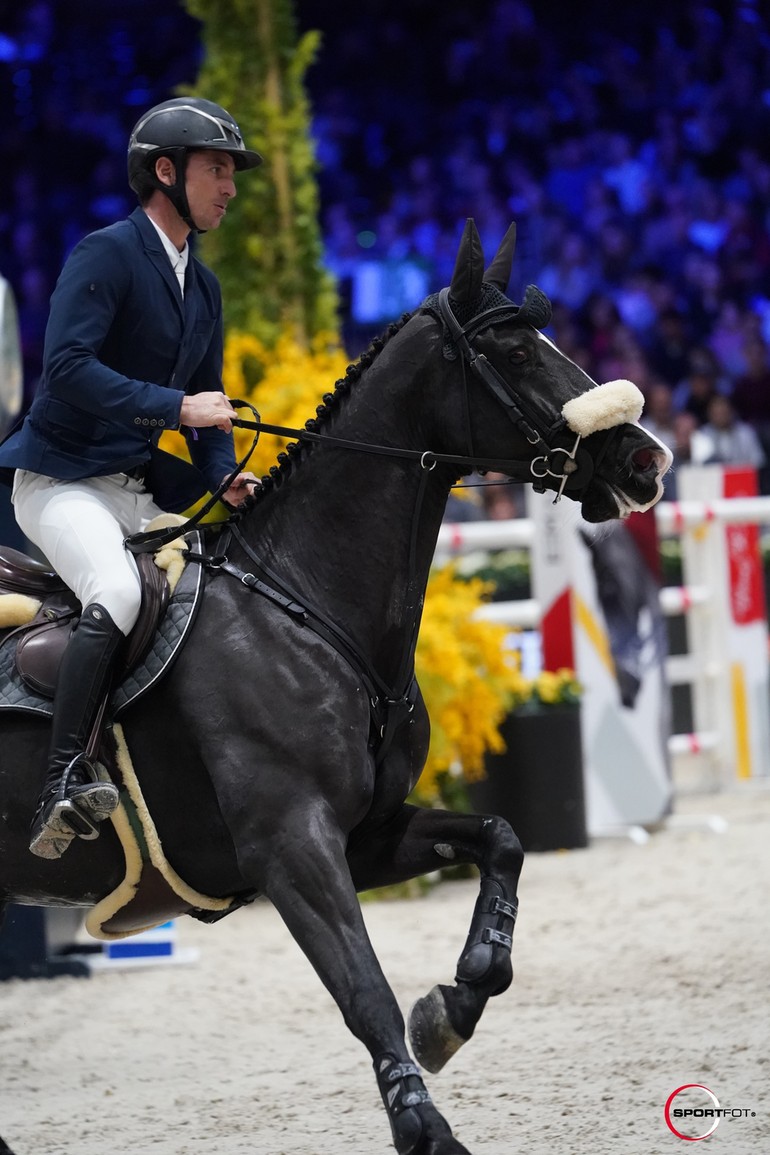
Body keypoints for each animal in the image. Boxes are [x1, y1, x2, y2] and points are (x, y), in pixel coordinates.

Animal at [0, 218, 674, 1155]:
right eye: (514, 351)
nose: (648, 461)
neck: (305, 605)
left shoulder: (365, 832)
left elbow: (501, 838)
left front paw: (455, 1005)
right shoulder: (293, 844)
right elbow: (363, 988)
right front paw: (426, 1125)